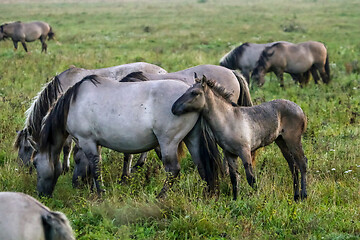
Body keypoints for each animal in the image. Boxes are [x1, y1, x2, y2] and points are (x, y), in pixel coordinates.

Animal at [173, 76, 308, 202]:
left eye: (194, 93)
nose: (173, 108)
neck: (229, 120)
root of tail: (300, 109)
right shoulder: (230, 154)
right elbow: (234, 178)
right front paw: (235, 200)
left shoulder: (244, 151)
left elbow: (251, 178)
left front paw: (257, 199)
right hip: (281, 141)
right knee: (293, 166)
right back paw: (296, 196)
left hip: (293, 140)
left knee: (302, 163)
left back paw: (303, 195)